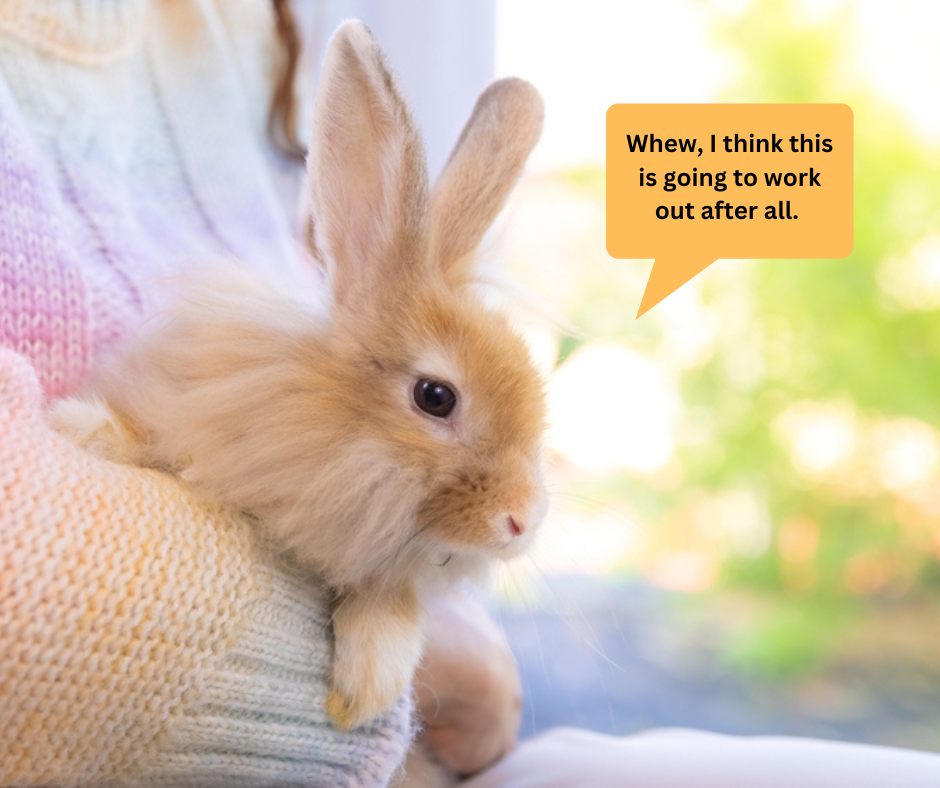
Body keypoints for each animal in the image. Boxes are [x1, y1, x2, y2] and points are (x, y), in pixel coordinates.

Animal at [50, 20, 547, 731]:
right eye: (435, 396)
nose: (521, 521)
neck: (319, 427)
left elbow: (391, 604)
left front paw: (366, 688)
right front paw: (83, 428)